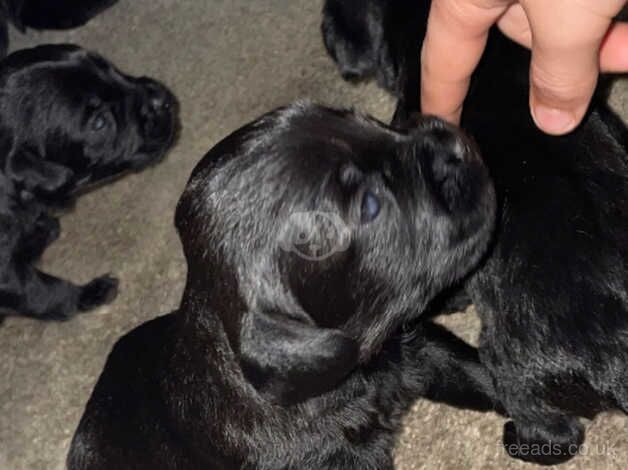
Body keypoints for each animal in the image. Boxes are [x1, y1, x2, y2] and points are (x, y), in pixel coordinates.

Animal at [0, 45, 177, 320]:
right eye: (99, 123)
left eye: (108, 67)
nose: (162, 98)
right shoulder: (6, 276)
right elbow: (43, 293)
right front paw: (89, 294)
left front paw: (39, 231)